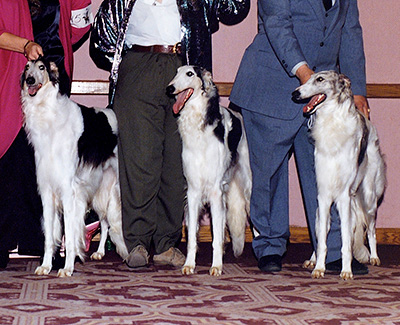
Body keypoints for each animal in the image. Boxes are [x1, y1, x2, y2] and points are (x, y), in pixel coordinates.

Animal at [20, 58, 128, 276]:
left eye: (42, 67)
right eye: (27, 67)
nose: (29, 80)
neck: (49, 115)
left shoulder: (69, 191)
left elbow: (69, 235)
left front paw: (67, 268)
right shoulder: (48, 191)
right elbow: (49, 237)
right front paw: (46, 266)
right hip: (101, 187)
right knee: (105, 222)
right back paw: (100, 252)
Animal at [166, 66, 250, 276]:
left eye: (189, 73)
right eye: (176, 72)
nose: (170, 88)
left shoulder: (214, 191)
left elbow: (216, 238)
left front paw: (216, 266)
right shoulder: (193, 191)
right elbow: (192, 238)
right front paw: (189, 265)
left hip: (247, 186)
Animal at [292, 70, 386, 278]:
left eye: (319, 79)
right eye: (309, 78)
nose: (295, 93)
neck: (332, 124)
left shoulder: (343, 197)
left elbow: (345, 242)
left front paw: (346, 271)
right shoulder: (323, 195)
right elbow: (322, 241)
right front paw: (319, 268)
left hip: (368, 198)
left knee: (371, 230)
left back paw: (374, 257)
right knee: (320, 231)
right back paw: (312, 260)